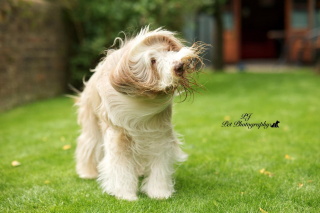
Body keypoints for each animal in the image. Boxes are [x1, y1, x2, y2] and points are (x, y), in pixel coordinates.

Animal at [74, 25, 204, 201]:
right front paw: (125, 195)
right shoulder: (119, 136)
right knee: (88, 144)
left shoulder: (159, 133)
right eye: (153, 61)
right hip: (92, 123)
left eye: (168, 49)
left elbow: (159, 164)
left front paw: (159, 192)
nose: (178, 66)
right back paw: (87, 173)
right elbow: (121, 167)